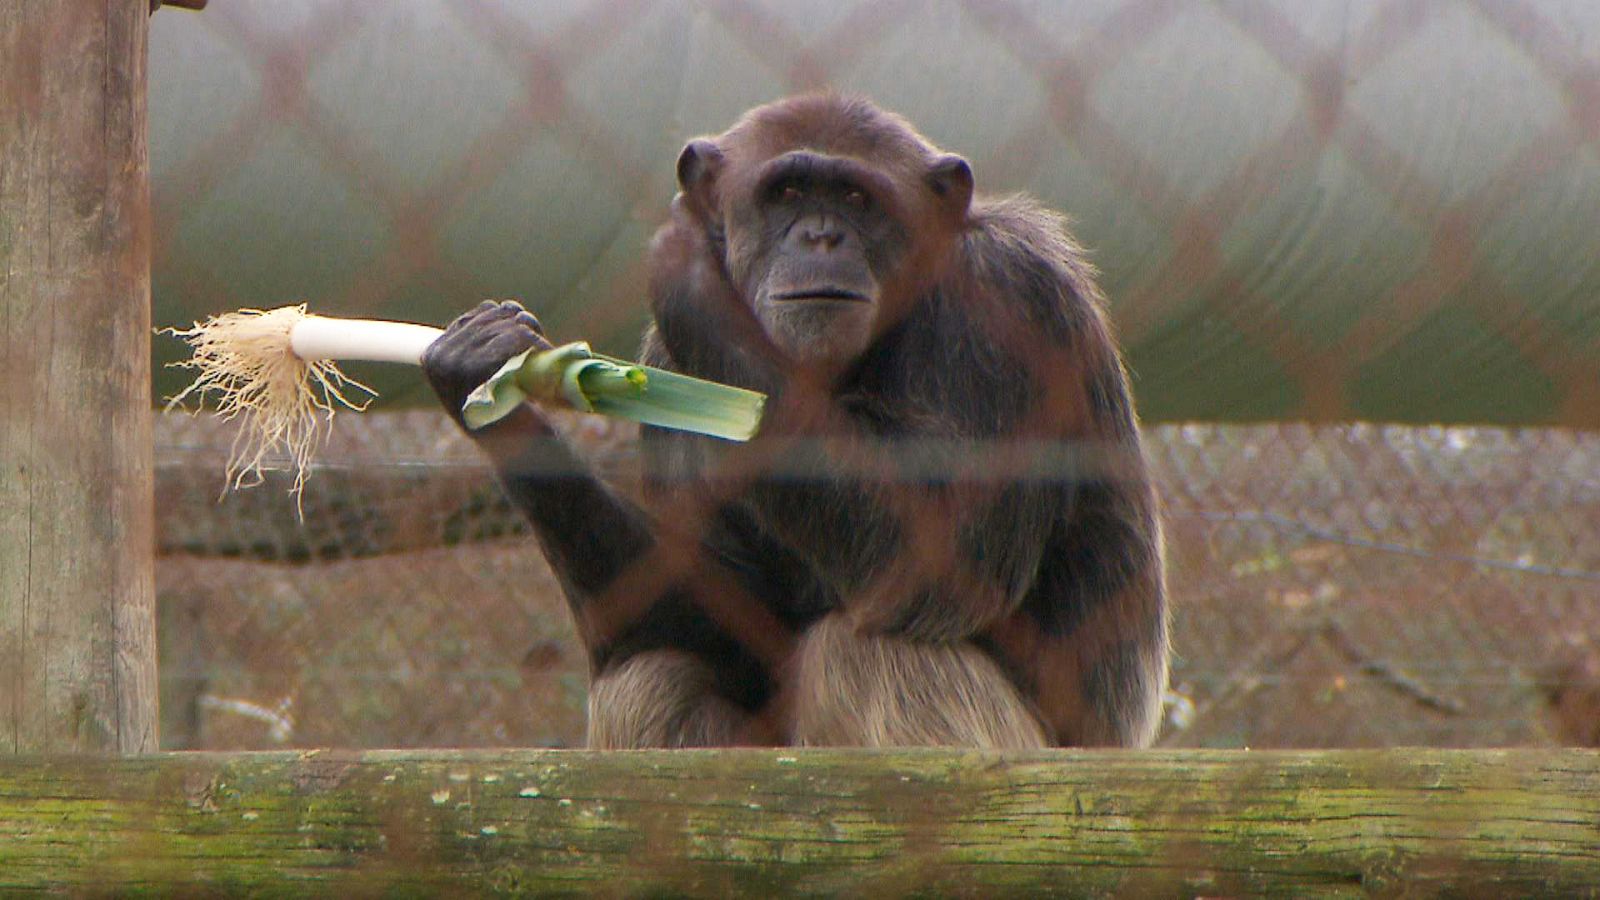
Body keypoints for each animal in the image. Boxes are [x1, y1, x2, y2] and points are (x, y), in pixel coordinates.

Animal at [425, 94, 1171, 746]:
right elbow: (720, 603)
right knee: (649, 677)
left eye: (856, 199)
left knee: (869, 655)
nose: (821, 235)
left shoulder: (1004, 299)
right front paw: (492, 384)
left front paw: (688, 271)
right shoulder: (664, 364)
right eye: (785, 192)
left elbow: (946, 544)